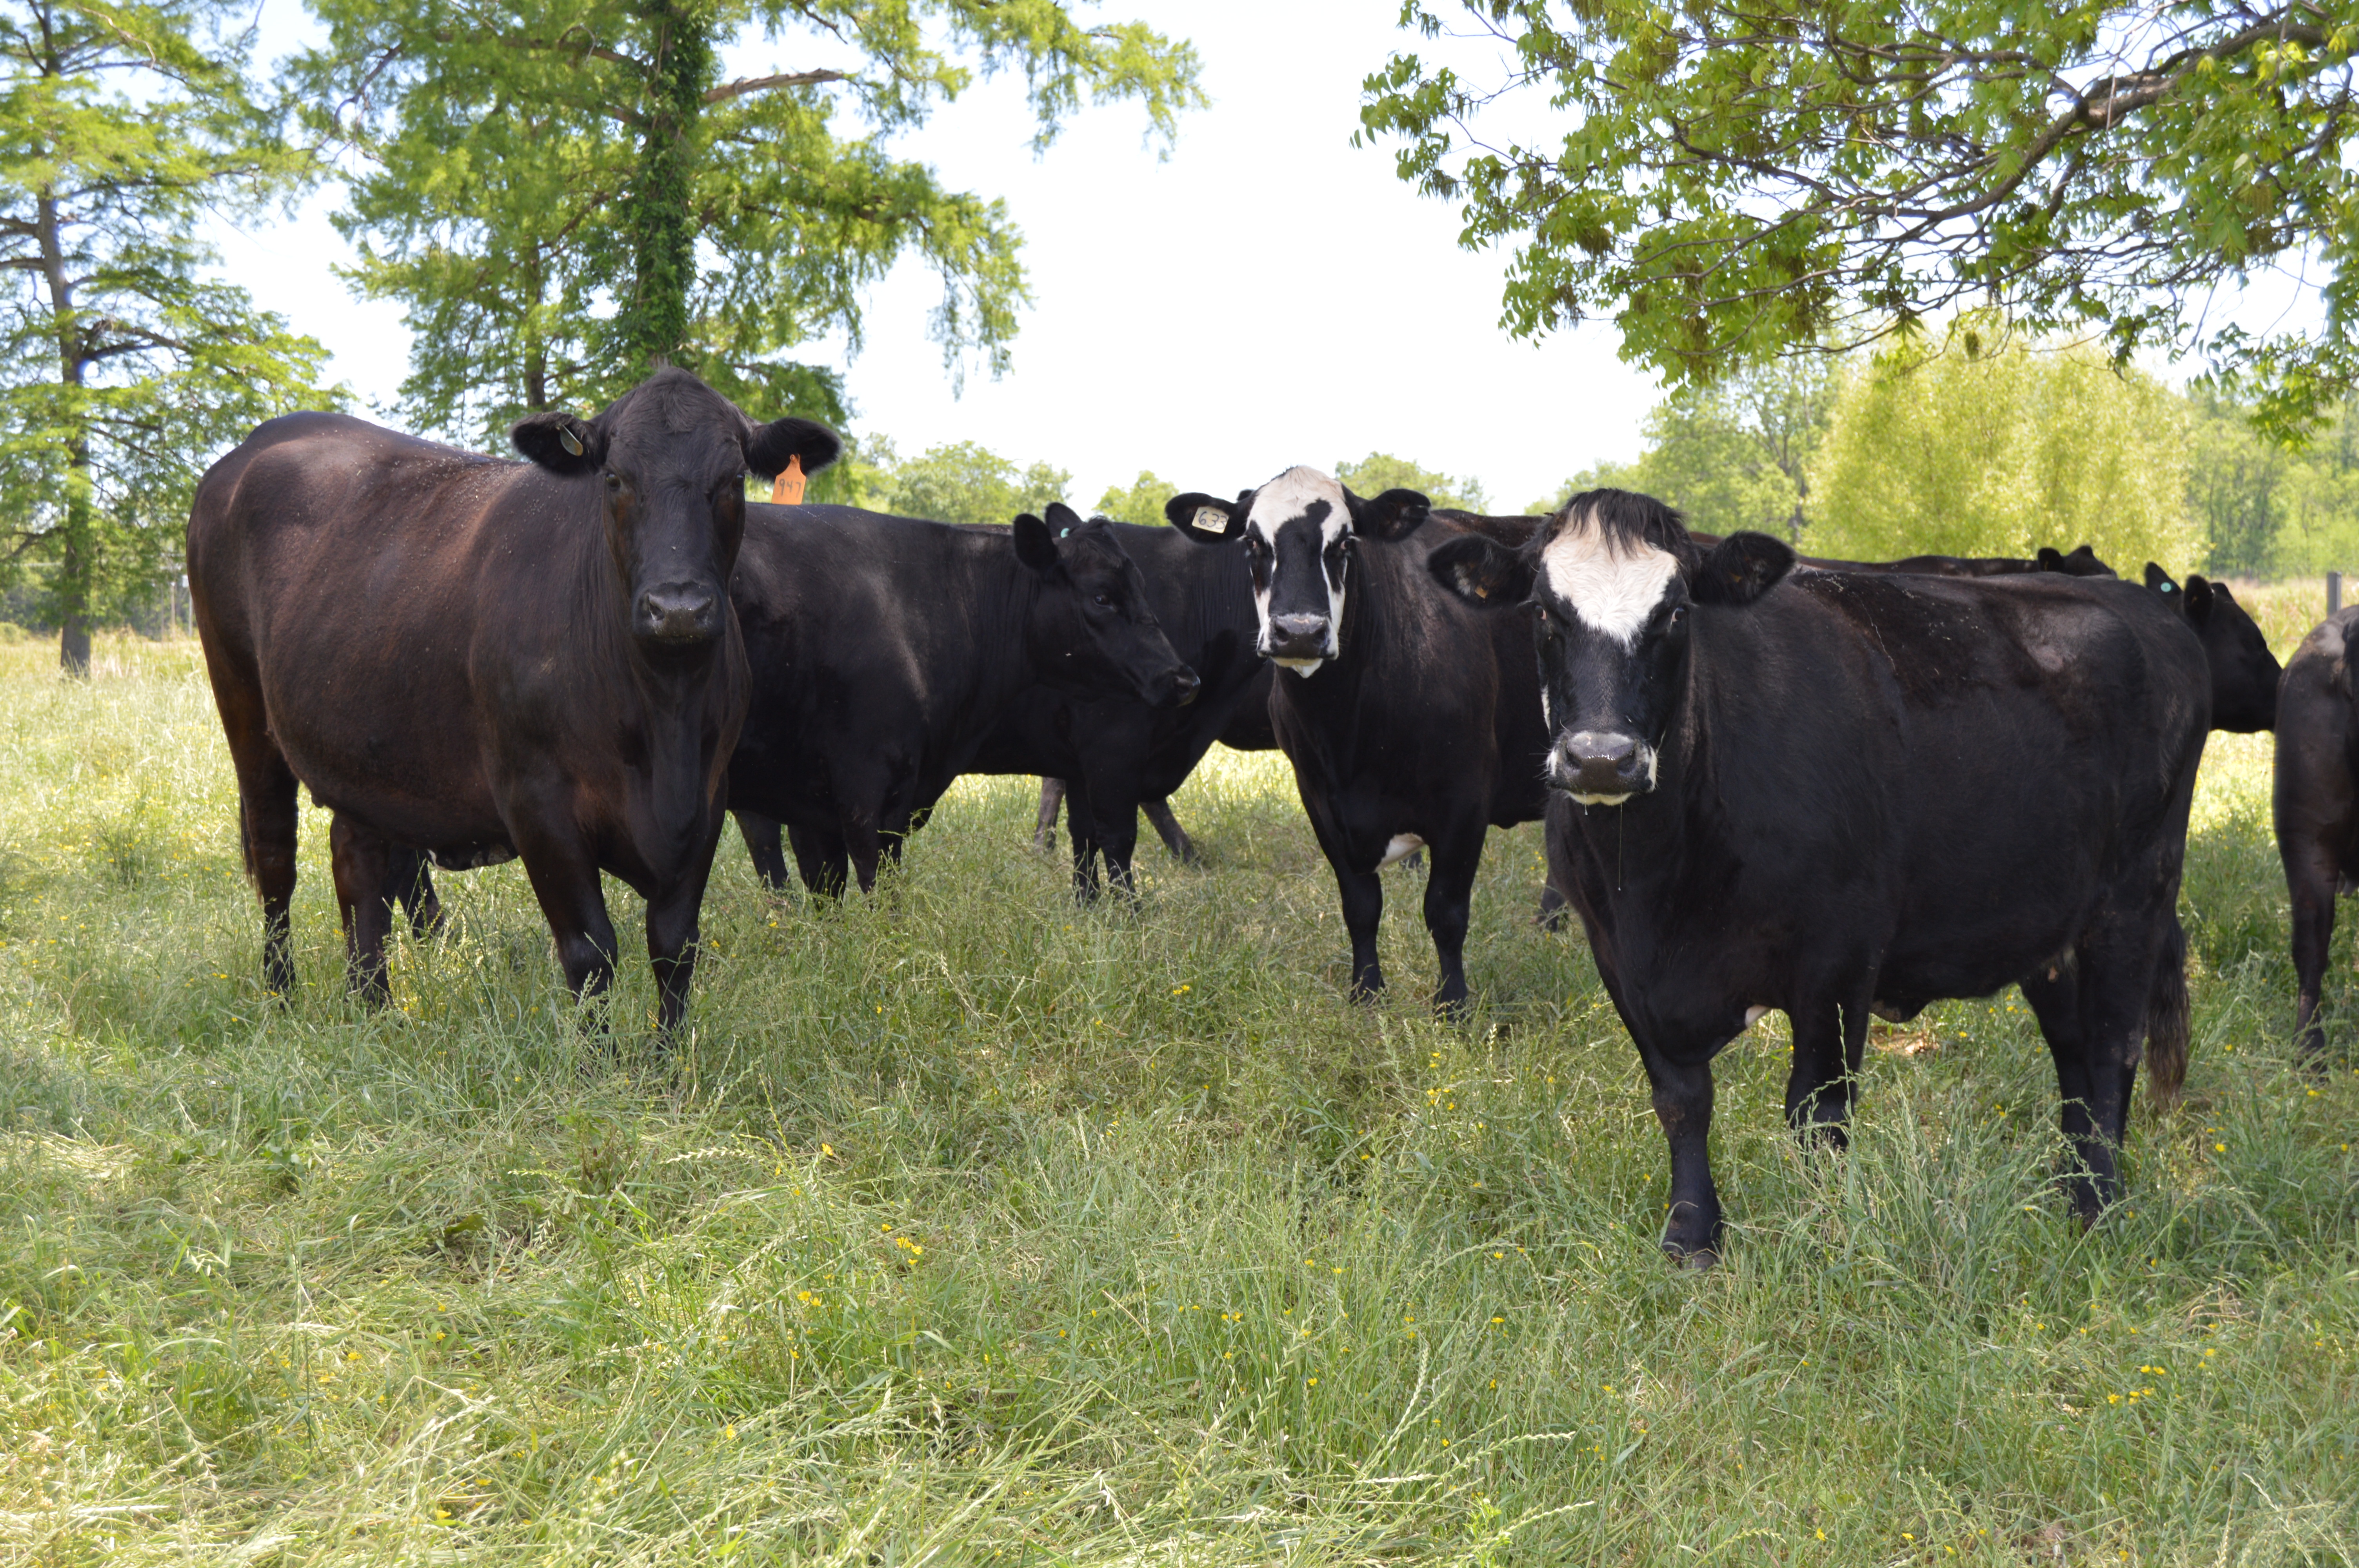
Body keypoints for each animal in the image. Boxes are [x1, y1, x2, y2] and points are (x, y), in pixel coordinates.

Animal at [187, 368, 838, 1030]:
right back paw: (282, 996)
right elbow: (590, 953)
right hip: (241, 701)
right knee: (275, 855)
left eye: (731, 480)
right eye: (614, 478)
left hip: (360, 743)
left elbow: (675, 948)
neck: (664, 716)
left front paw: (670, 1057)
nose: (677, 607)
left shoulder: (707, 797)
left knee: (358, 859)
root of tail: (256, 444)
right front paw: (599, 1059)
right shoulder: (539, 804)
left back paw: (376, 1009)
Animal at [725, 501, 1198, 896]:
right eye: (1102, 597)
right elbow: (877, 887)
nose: (1183, 679)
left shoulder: (813, 800)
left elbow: (826, 889)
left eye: (1141, 588)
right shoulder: (869, 785)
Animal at [1163, 470, 1552, 1010]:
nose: (1298, 632)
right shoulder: (1319, 799)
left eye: (1344, 544)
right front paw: (1366, 990)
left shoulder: (1466, 800)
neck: (1349, 732)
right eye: (1253, 543)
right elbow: (1361, 905)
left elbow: (1446, 912)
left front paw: (1452, 1003)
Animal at [1427, 489, 2209, 1263]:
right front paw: (1692, 1233)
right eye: (1543, 612)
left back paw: (2097, 1204)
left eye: (1676, 612)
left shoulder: (1841, 950)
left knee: (2112, 1048)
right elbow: (1681, 1099)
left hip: (2135, 897)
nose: (1600, 759)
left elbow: (1817, 1109)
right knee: (2073, 1054)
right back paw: (2068, 1187)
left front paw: (1827, 1231)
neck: (1654, 885)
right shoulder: (1618, 959)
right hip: (2051, 920)